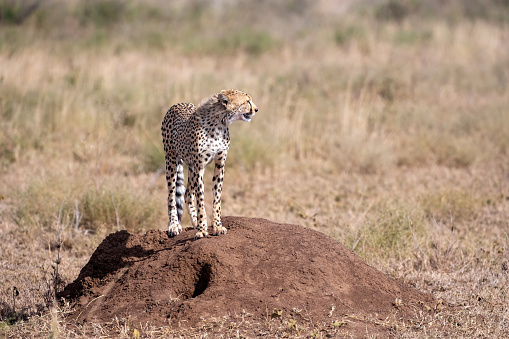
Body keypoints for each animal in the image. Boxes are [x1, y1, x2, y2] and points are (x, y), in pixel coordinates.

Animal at [162, 89, 258, 239]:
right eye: (246, 101)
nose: (256, 109)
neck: (220, 122)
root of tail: (177, 104)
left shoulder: (220, 164)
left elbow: (217, 199)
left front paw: (217, 226)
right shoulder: (199, 168)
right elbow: (201, 201)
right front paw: (202, 229)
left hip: (190, 167)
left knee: (187, 195)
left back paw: (195, 222)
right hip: (171, 160)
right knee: (171, 196)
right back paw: (174, 225)